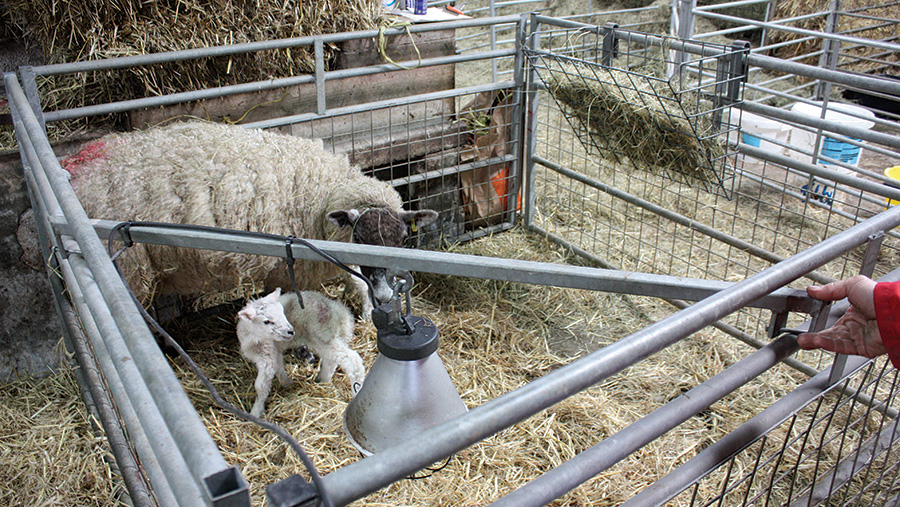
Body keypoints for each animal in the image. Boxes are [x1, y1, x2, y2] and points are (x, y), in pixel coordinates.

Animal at [239, 288, 370, 418]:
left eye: (282, 313)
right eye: (266, 321)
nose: (291, 331)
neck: (254, 338)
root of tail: (342, 313)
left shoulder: (267, 356)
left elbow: (260, 386)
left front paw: (255, 412)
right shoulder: (273, 352)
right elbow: (279, 368)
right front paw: (287, 383)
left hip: (324, 334)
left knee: (352, 360)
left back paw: (356, 390)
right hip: (320, 338)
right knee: (330, 360)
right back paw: (323, 380)